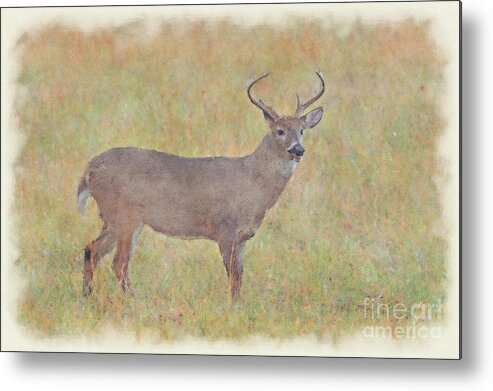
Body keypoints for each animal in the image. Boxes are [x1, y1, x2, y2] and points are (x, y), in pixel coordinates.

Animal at [76, 71, 322, 304]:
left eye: (302, 130)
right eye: (280, 131)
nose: (298, 150)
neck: (253, 183)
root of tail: (90, 169)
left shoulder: (243, 237)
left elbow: (240, 275)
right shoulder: (226, 230)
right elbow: (233, 277)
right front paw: (233, 308)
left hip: (117, 219)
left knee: (92, 250)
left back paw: (87, 295)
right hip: (124, 215)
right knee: (118, 262)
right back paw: (132, 300)